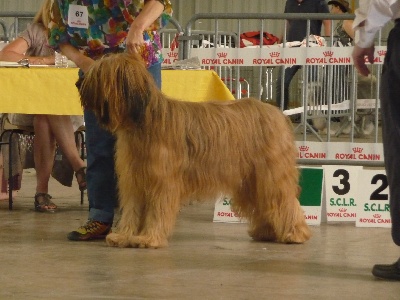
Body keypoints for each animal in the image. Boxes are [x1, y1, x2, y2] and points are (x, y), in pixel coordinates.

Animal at [78, 53, 310, 248]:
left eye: (100, 73)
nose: (78, 84)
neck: (144, 120)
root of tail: (276, 112)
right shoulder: (134, 180)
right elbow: (132, 211)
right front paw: (124, 236)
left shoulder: (162, 181)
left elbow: (157, 209)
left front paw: (149, 238)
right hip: (251, 179)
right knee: (265, 204)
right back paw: (266, 232)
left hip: (270, 174)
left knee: (284, 200)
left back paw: (295, 233)